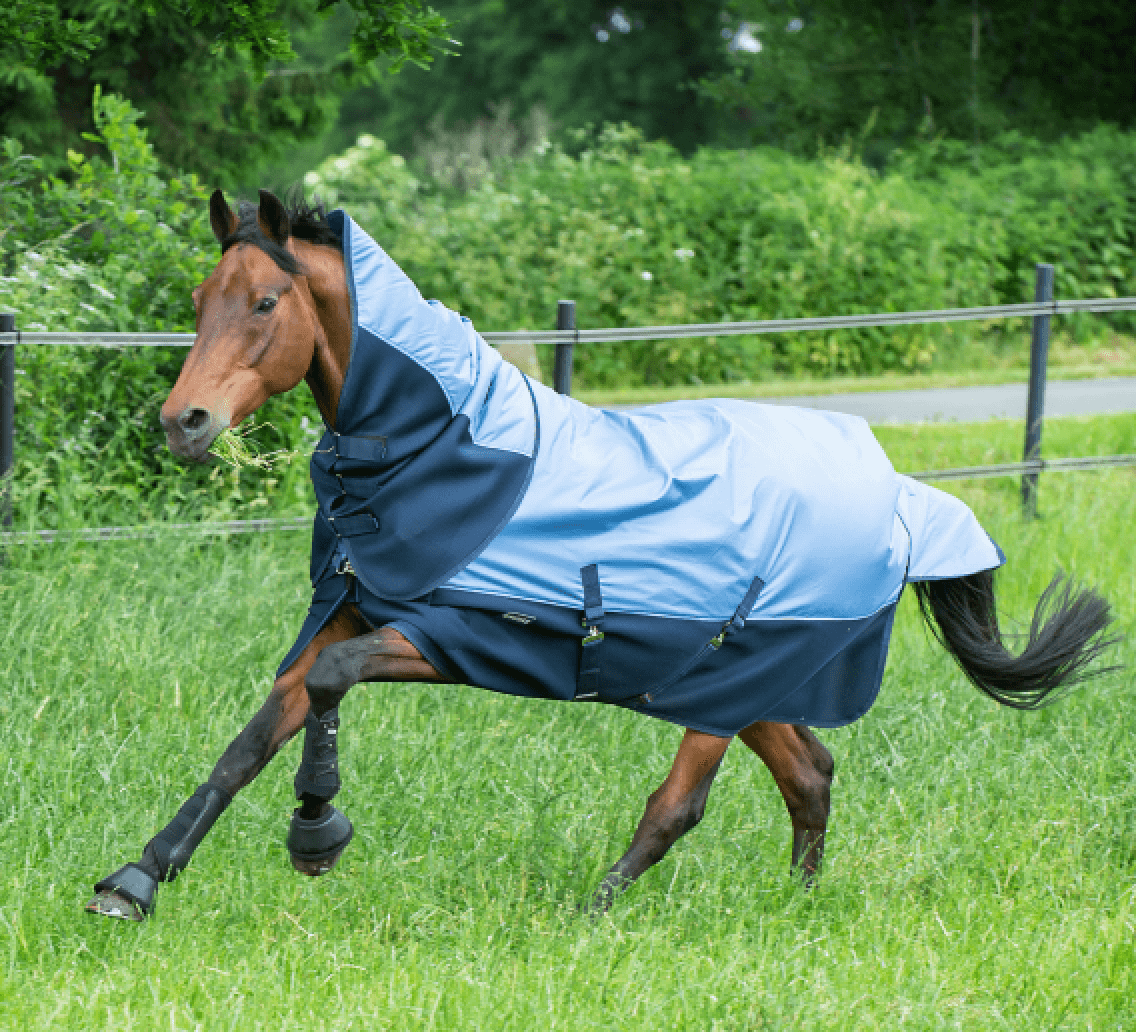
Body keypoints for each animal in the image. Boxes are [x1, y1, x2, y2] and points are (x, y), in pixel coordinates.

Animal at [86, 190, 1116, 922]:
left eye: (265, 301)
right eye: (198, 301)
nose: (185, 423)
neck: (448, 448)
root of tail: (905, 497)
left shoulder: (455, 637)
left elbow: (328, 692)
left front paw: (317, 836)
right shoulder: (351, 612)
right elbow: (255, 737)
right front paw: (137, 880)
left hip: (728, 686)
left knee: (680, 805)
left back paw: (592, 915)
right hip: (739, 684)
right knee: (811, 773)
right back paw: (794, 909)